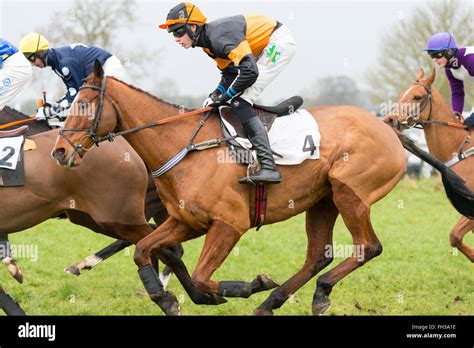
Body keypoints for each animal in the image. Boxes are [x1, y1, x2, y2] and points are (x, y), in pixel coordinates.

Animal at [51, 62, 408, 316]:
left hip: (349, 193)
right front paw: (166, 299)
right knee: (319, 255)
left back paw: (317, 290)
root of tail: (384, 126)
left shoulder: (229, 224)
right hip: (323, 200)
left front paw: (252, 284)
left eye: (84, 106)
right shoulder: (186, 222)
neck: (184, 147)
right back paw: (274, 302)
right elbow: (143, 250)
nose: (59, 151)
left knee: (367, 247)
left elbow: (198, 276)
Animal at [384, 69, 472, 262]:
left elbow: (455, 235)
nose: (390, 119)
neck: (460, 147)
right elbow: (455, 236)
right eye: (402, 94)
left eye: (417, 96)